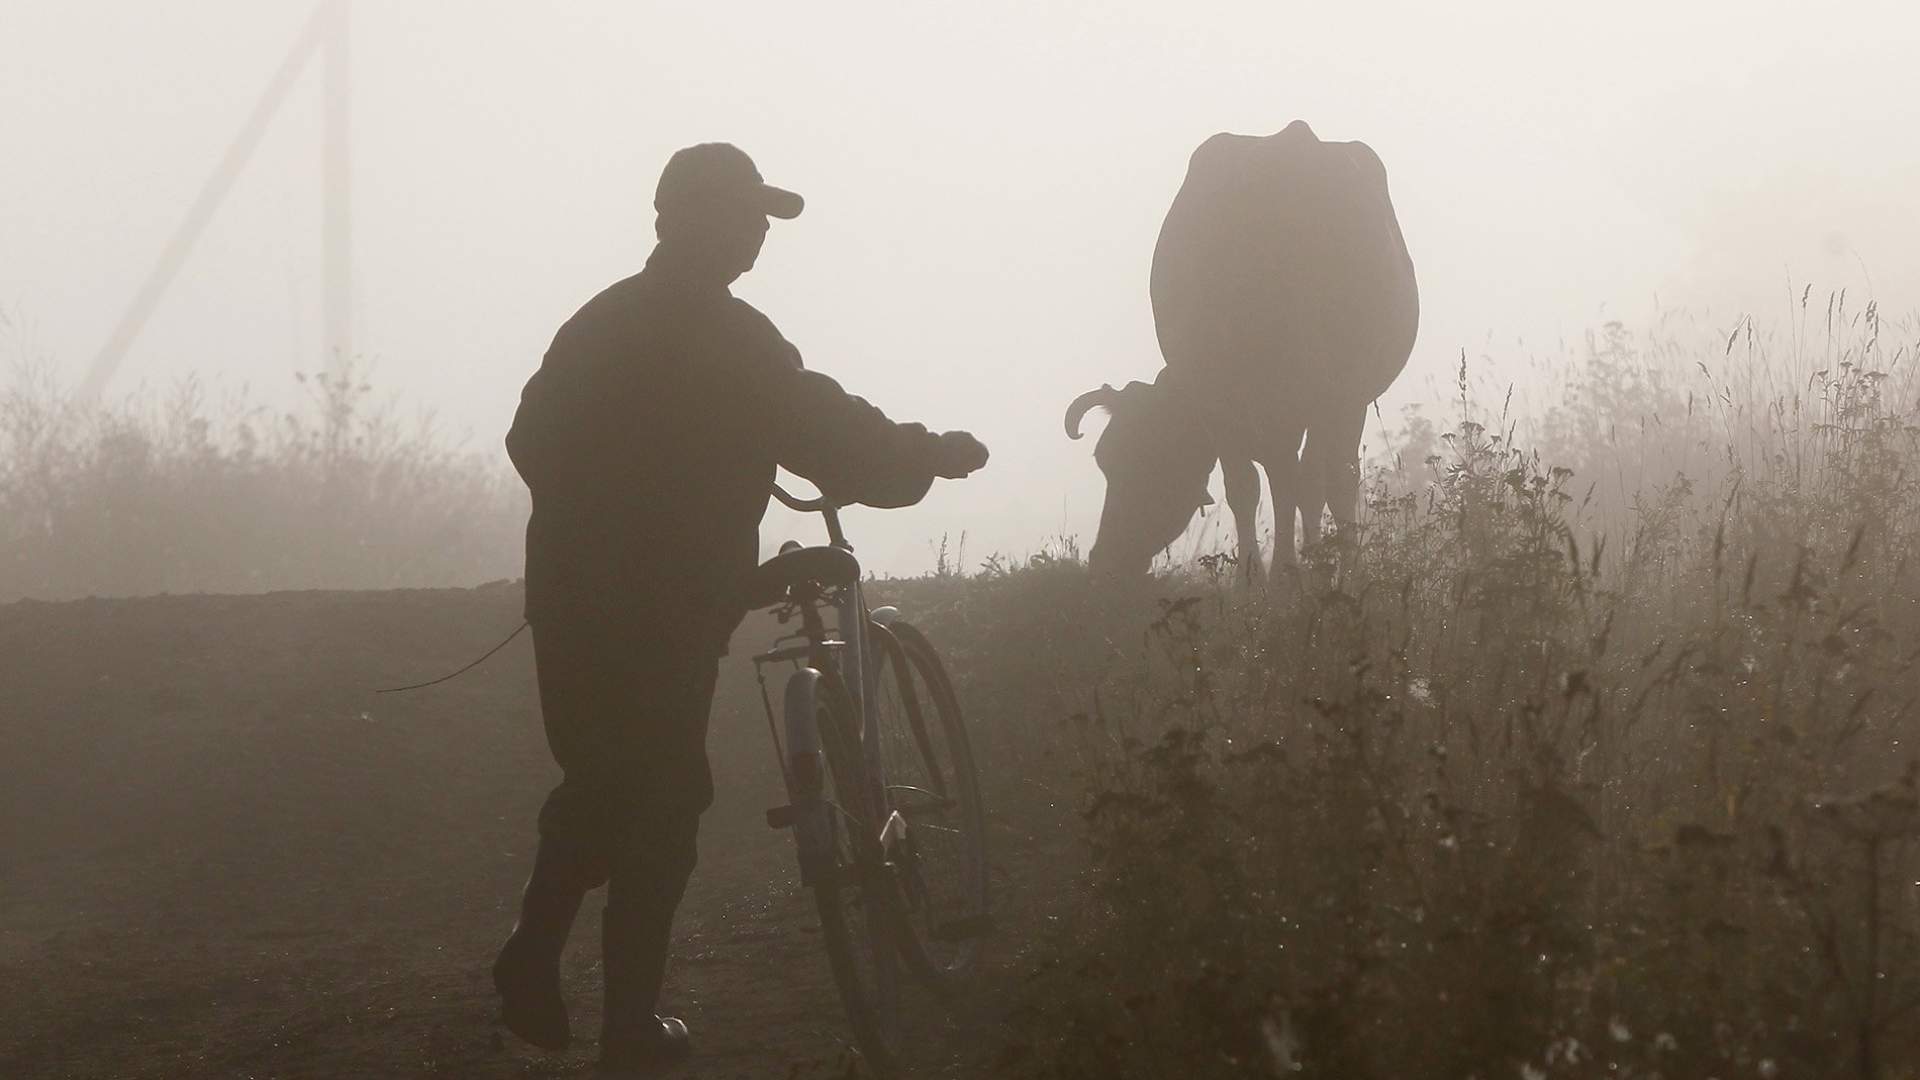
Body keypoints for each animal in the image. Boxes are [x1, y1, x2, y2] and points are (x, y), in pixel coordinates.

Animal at [1067, 121, 1413, 576]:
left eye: (1148, 461)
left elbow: (1292, 483)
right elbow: (1249, 486)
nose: (1105, 560)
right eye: (1105, 459)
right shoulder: (1228, 412)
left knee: (1325, 479)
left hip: (1335, 400)